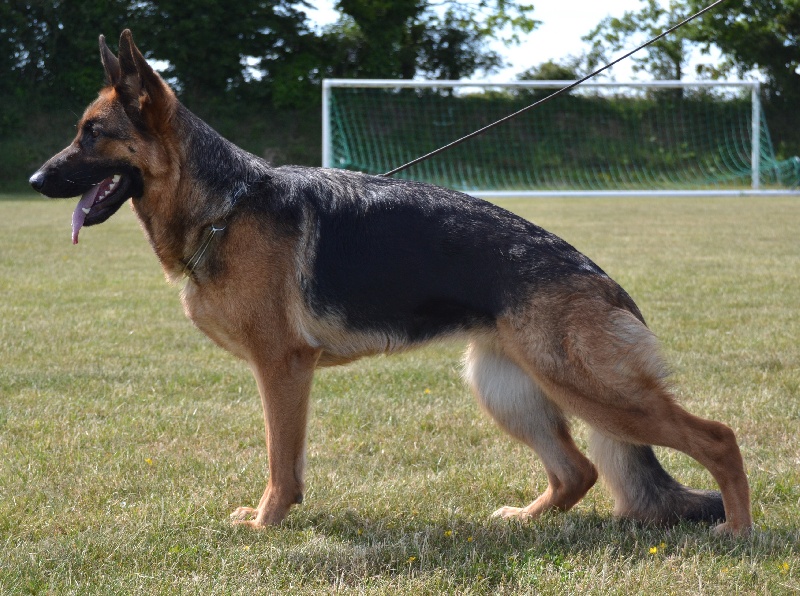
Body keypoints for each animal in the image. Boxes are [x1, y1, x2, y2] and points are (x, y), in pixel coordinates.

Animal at [28, 30, 752, 536]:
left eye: (93, 135)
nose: (33, 180)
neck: (225, 203)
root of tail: (602, 280)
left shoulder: (283, 367)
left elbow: (280, 459)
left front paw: (267, 523)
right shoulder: (287, 371)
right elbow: (287, 460)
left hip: (588, 387)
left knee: (717, 437)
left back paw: (740, 534)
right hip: (504, 387)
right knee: (580, 470)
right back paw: (525, 520)